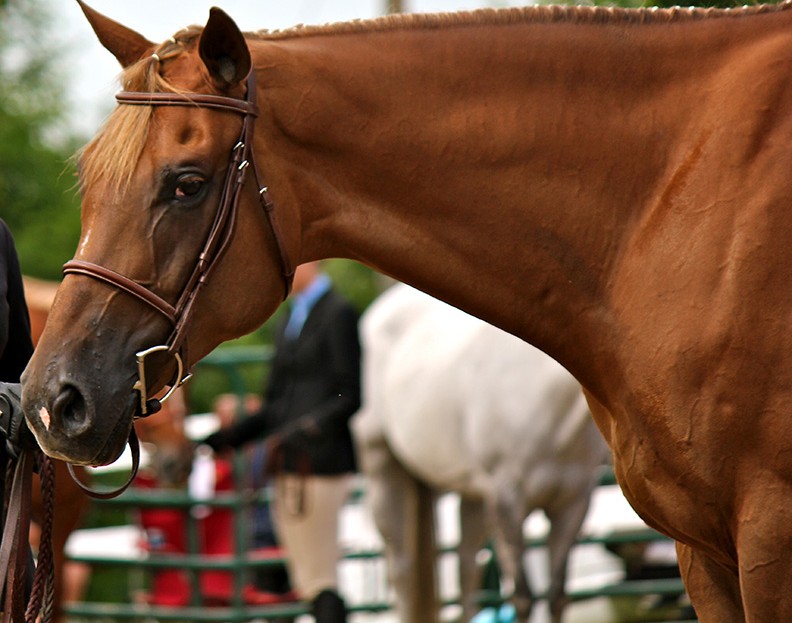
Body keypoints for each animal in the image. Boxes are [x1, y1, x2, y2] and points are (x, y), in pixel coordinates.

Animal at [353, 283, 608, 622]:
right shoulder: (507, 500)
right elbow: (523, 596)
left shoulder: (573, 504)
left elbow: (556, 596)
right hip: (383, 470)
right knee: (403, 572)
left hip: (471, 496)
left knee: (466, 570)